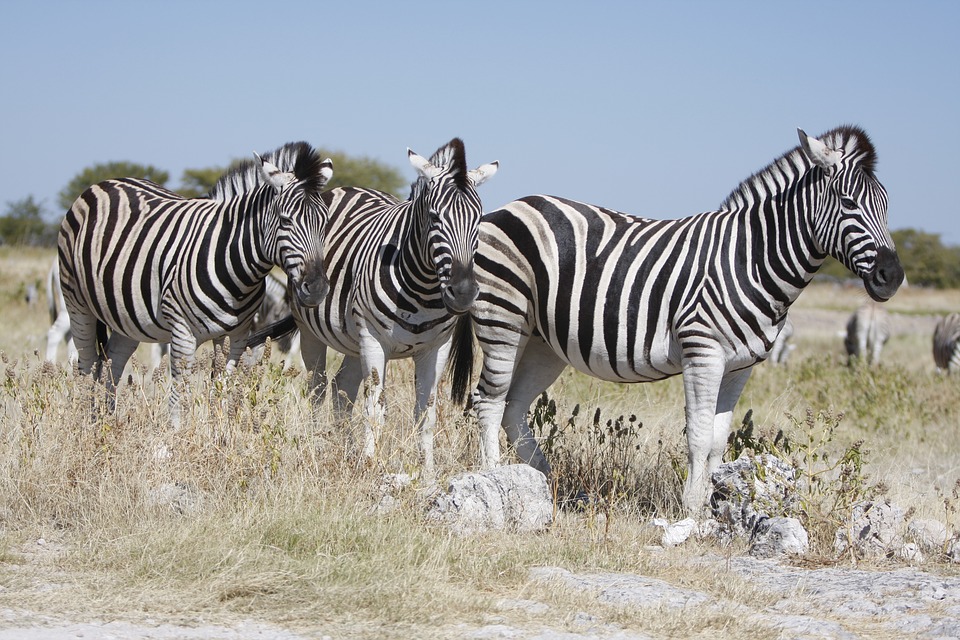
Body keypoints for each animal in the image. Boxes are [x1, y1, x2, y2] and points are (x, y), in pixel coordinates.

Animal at [58, 142, 334, 428]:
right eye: (285, 220)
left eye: (325, 222)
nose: (317, 288)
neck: (236, 268)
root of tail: (106, 182)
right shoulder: (182, 333)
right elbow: (179, 395)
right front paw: (176, 437)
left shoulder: (235, 337)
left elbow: (221, 390)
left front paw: (219, 433)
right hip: (77, 304)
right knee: (87, 364)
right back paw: (86, 422)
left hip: (126, 316)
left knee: (113, 360)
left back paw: (107, 419)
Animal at [248, 136, 498, 476]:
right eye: (435, 217)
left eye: (479, 219)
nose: (462, 293)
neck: (423, 287)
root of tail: (348, 187)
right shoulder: (375, 341)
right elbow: (374, 408)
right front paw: (371, 465)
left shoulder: (436, 348)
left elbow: (426, 412)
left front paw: (427, 472)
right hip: (314, 331)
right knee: (317, 387)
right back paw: (316, 444)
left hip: (353, 341)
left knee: (342, 387)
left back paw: (341, 446)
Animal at [450, 126, 900, 516]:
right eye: (848, 202)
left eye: (887, 205)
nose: (892, 277)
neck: (751, 259)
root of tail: (506, 208)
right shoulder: (703, 354)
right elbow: (698, 438)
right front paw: (691, 510)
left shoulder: (739, 367)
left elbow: (717, 441)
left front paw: (709, 506)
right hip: (502, 317)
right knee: (488, 400)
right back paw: (495, 479)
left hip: (542, 341)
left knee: (513, 406)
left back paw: (543, 480)